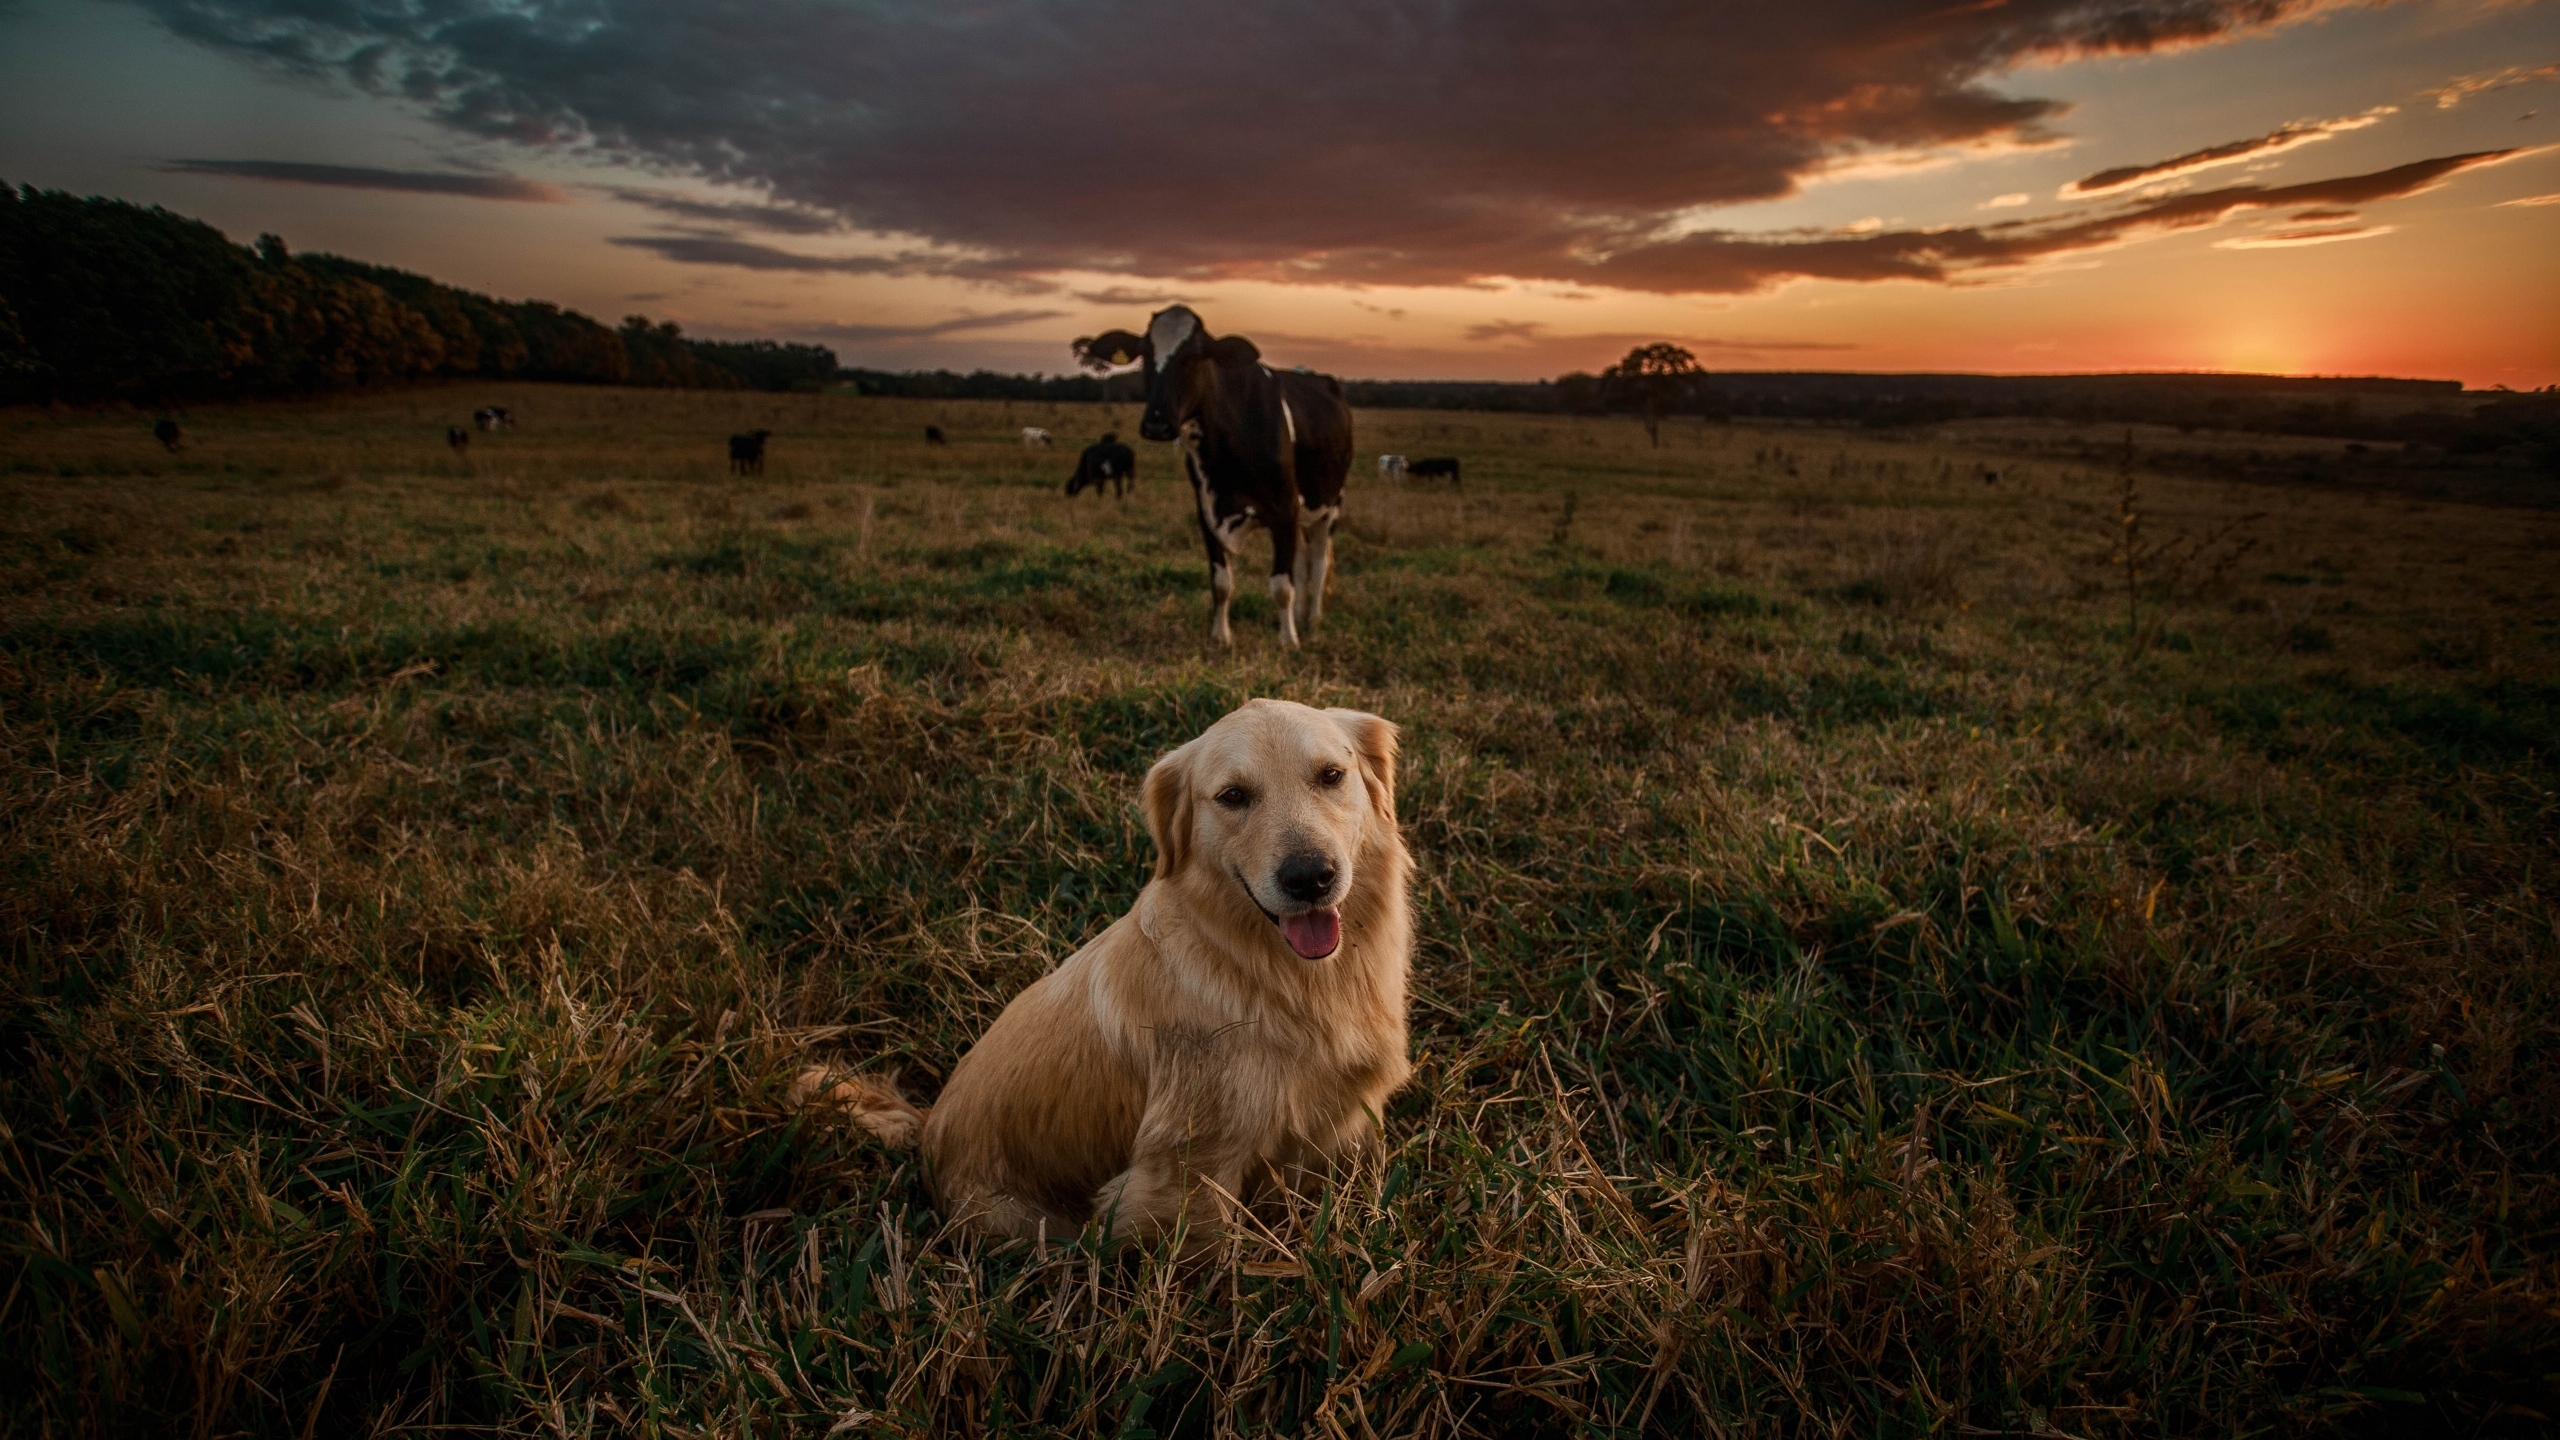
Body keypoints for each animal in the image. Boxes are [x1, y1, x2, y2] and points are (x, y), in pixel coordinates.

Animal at [798, 691, 1413, 1235]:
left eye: (1331, 775)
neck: (1268, 970)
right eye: (1234, 796)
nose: (1311, 878)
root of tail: (927, 1130)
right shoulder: (1184, 1170)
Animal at [1075, 304, 1361, 648]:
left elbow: (1281, 585)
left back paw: (1314, 619)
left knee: (1319, 562)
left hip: (1330, 504)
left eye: (1197, 356)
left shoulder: (1284, 510)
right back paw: (1301, 615)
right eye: (1145, 354)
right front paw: (1221, 637)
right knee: (1303, 563)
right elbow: (1222, 582)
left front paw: (1288, 641)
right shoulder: (1207, 511)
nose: (1156, 424)